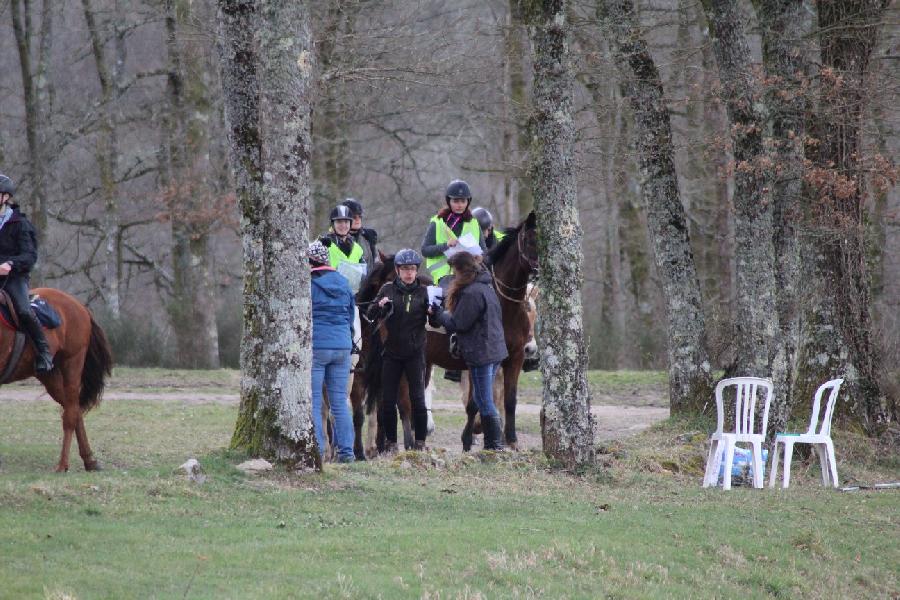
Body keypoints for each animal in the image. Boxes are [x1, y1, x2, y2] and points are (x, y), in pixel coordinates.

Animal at [0, 288, 113, 472]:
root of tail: (80, 307)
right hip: (50, 376)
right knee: (75, 409)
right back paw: (90, 460)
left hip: (72, 364)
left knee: (70, 415)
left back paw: (63, 465)